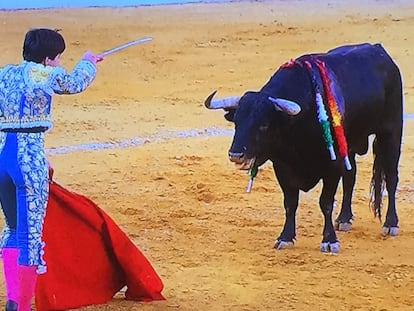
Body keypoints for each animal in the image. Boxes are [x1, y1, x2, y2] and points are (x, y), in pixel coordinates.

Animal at [205, 43, 402, 254]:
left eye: (263, 125)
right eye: (237, 122)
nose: (236, 155)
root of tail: (379, 50)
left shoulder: (332, 166)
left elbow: (325, 202)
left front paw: (329, 240)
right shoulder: (282, 167)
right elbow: (290, 203)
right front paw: (285, 237)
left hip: (391, 133)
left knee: (391, 178)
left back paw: (390, 223)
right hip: (348, 147)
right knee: (351, 177)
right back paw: (344, 219)